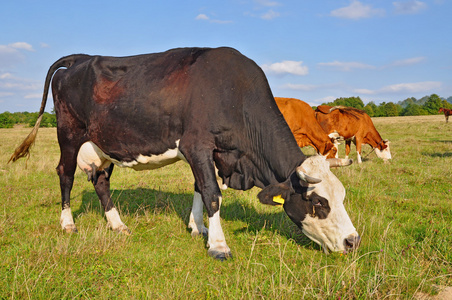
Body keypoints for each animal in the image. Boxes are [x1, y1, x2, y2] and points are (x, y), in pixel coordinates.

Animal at [9, 47, 360, 260]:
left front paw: (198, 228)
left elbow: (199, 189)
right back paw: (68, 224)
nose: (353, 241)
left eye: (343, 196)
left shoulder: (209, 152)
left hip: (104, 144)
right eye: (318, 202)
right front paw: (218, 245)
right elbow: (213, 193)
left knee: (100, 181)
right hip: (69, 136)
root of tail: (81, 58)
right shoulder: (197, 145)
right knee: (65, 175)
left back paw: (117, 225)